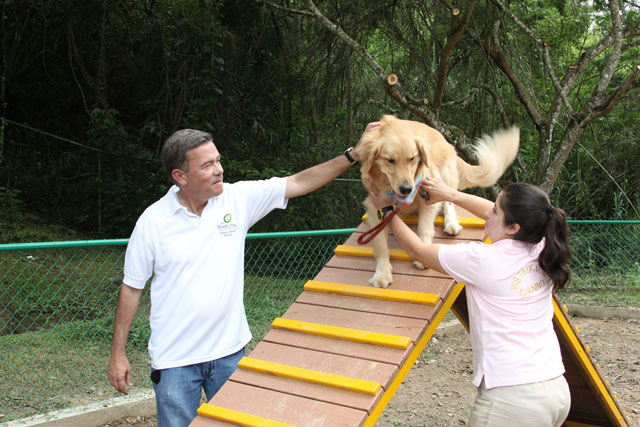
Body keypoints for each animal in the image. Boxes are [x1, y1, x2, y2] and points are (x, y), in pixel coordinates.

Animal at [360, 114, 520, 288]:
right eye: (390, 160)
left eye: (412, 159)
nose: (406, 189)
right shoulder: (375, 204)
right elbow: (381, 244)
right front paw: (382, 274)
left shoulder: (428, 193)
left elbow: (424, 227)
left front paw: (423, 253)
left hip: (445, 173)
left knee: (450, 201)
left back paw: (451, 223)